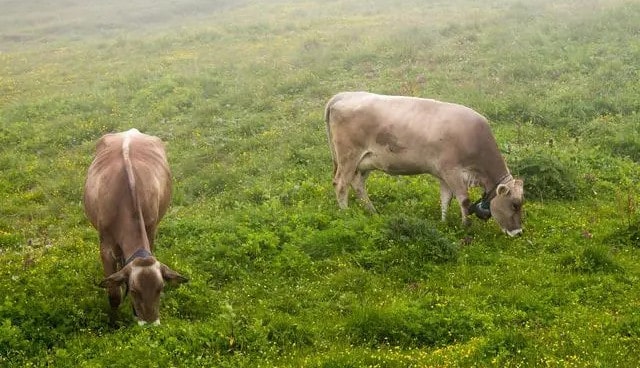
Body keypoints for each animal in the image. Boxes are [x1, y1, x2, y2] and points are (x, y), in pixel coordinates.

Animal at [84, 129, 186, 324]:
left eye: (160, 288)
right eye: (134, 290)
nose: (150, 324)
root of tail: (130, 131)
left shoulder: (151, 229)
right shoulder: (105, 246)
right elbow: (114, 293)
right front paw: (115, 322)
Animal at [324, 90, 524, 237]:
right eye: (514, 204)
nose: (519, 232)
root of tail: (343, 95)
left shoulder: (443, 174)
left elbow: (446, 199)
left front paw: (444, 222)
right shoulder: (452, 171)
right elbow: (464, 200)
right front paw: (466, 226)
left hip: (364, 162)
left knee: (358, 185)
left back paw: (372, 212)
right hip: (348, 156)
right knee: (341, 184)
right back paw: (346, 214)